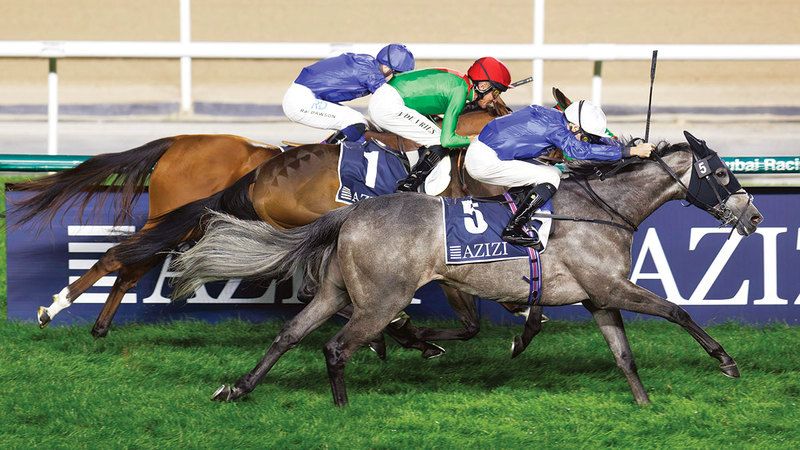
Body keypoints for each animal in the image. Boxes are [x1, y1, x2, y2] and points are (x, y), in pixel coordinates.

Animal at [170, 134, 764, 406]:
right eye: (721, 173)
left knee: (290, 335)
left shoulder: (598, 297)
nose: (754, 215)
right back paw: (344, 405)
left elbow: (624, 354)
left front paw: (643, 405)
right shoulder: (610, 285)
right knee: (337, 346)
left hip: (338, 293)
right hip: (379, 298)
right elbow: (676, 309)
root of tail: (352, 213)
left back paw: (239, 388)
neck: (603, 208)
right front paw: (727, 362)